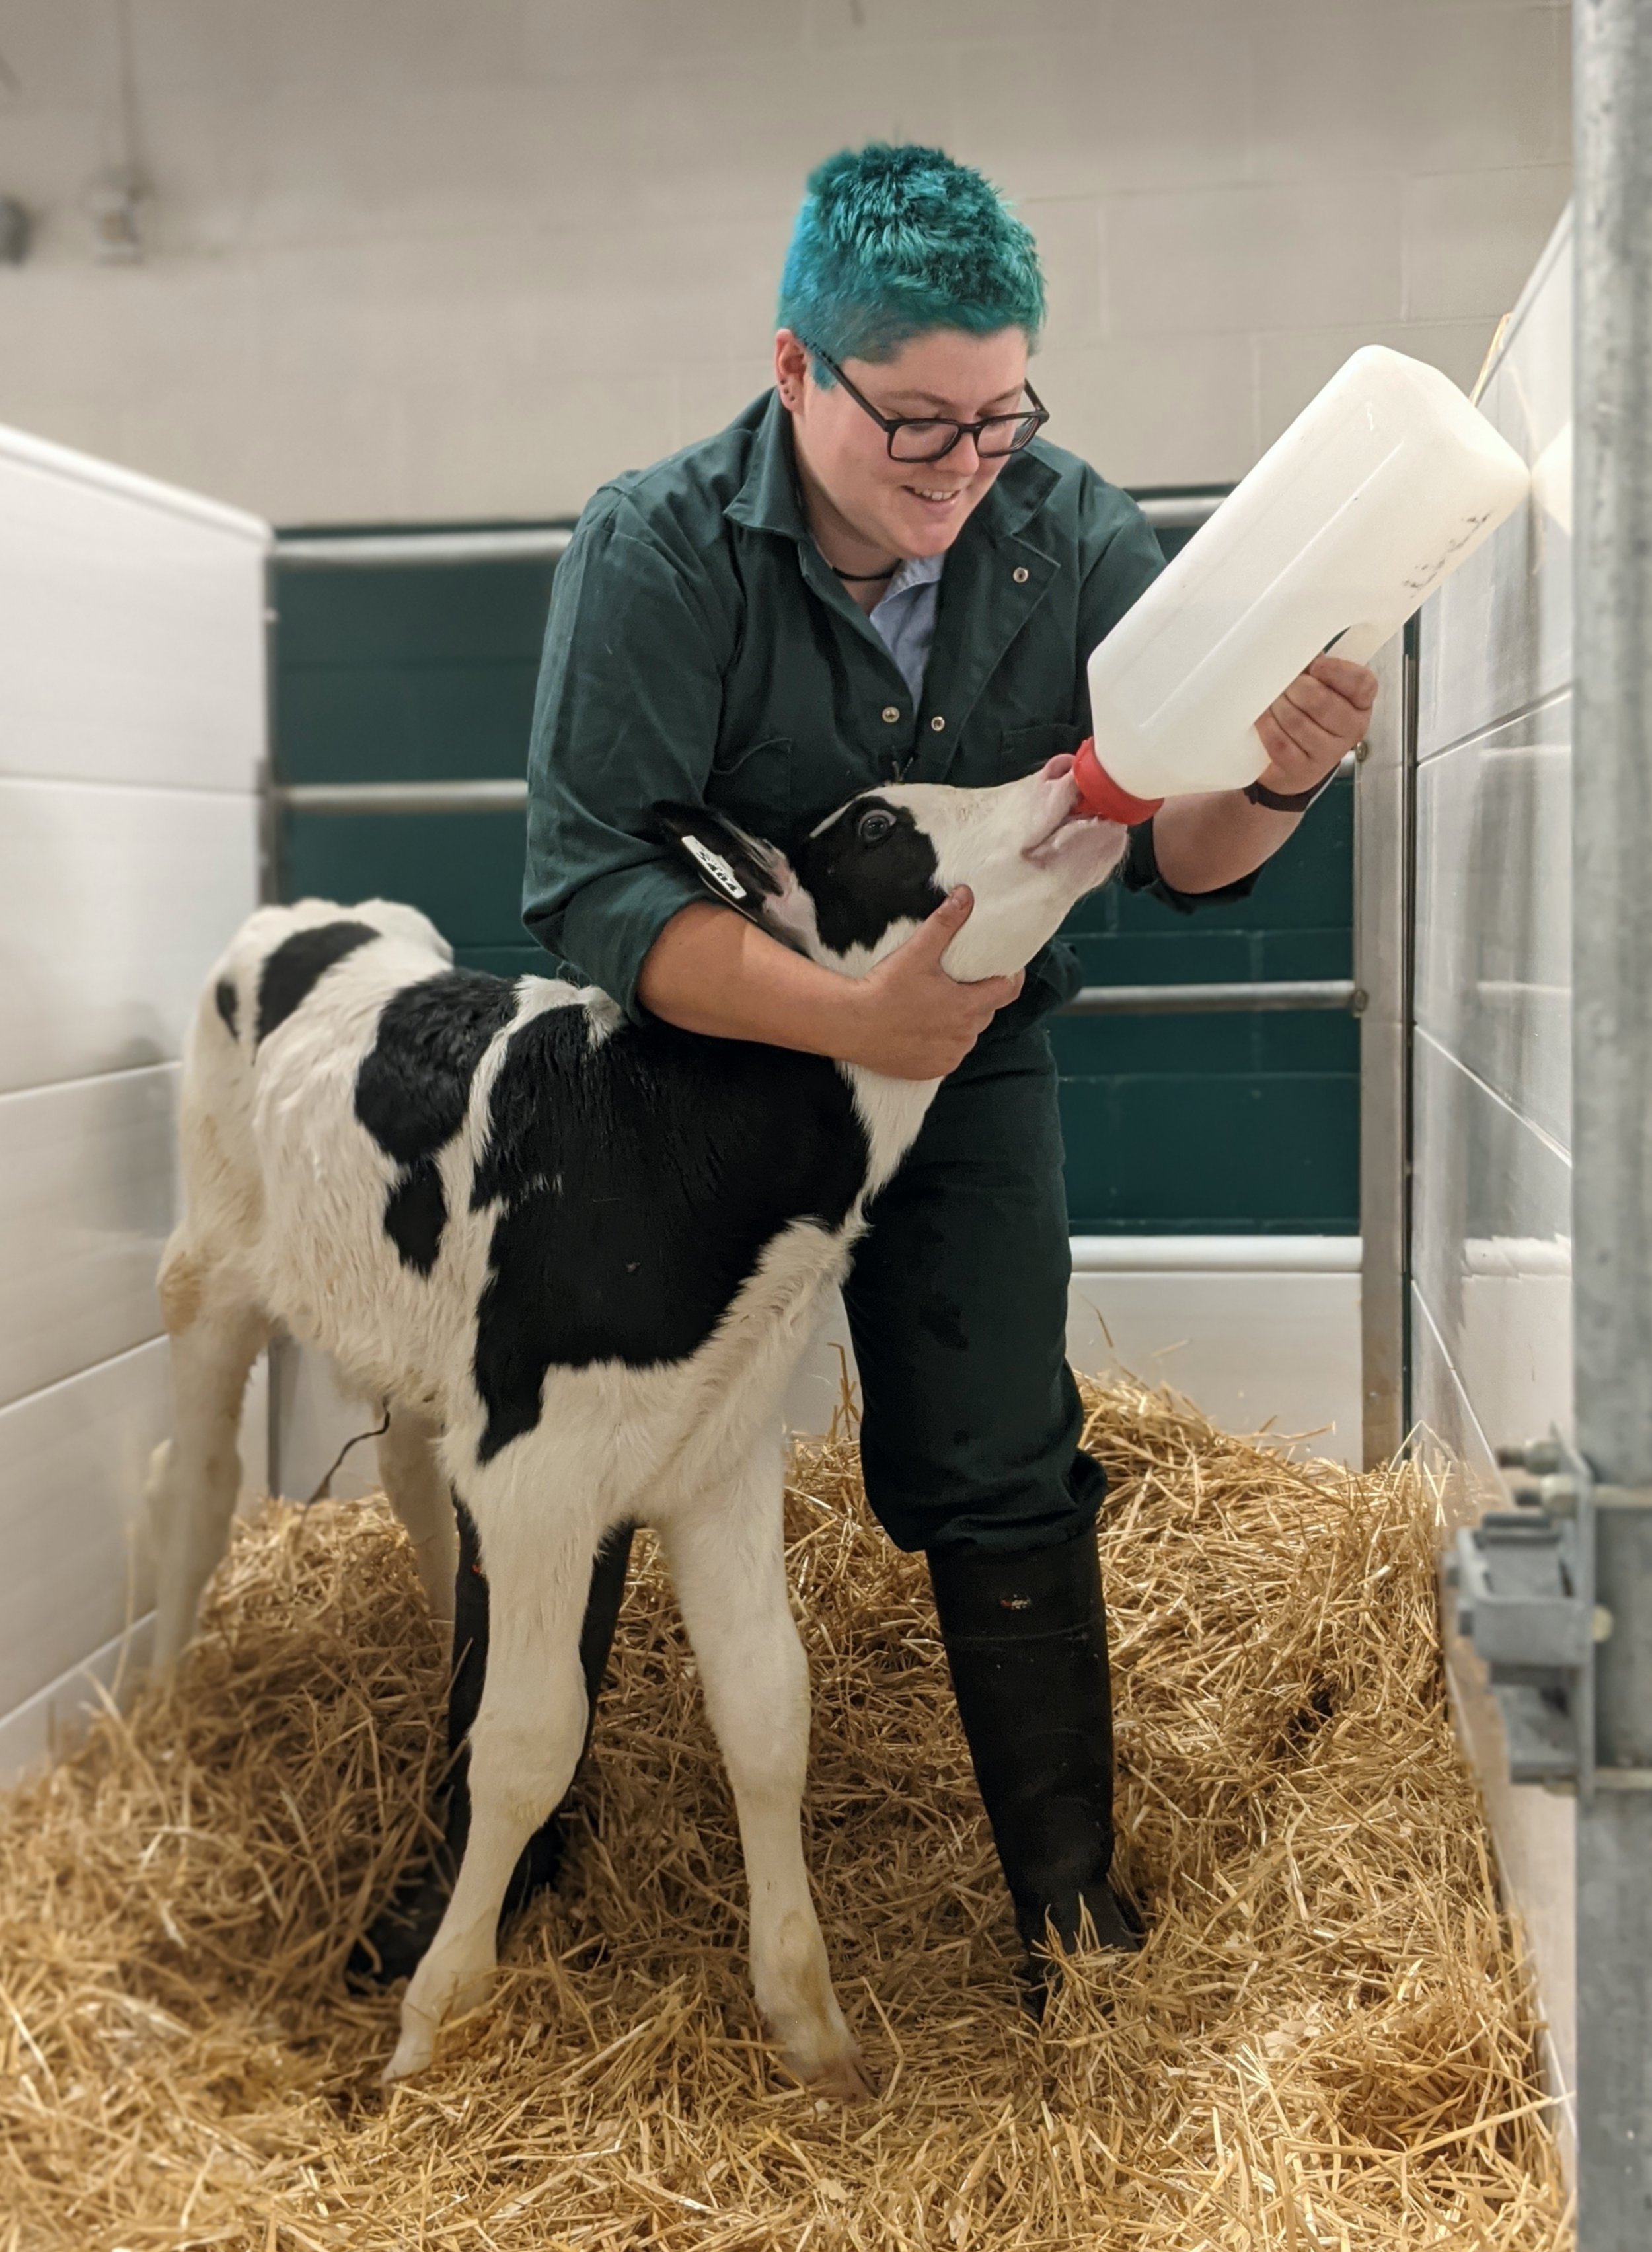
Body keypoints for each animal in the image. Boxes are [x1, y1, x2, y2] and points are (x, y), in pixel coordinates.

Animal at [148, 765, 1134, 2081]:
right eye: (878, 824)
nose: (1066, 775)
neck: (677, 1141)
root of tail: (308, 910)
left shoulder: (718, 1450)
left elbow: (767, 1709)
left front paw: (813, 2031)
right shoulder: (536, 1468)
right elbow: (529, 1740)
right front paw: (435, 2022)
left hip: (424, 1347)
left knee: (410, 1476)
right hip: (209, 1268)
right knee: (193, 1482)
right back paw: (161, 1707)